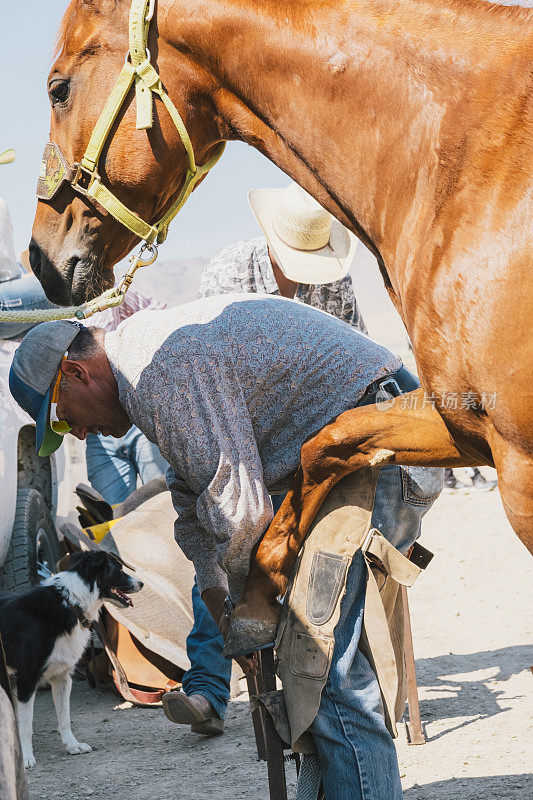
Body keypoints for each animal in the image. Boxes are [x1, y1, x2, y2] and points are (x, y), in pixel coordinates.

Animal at [0, 552, 142, 768]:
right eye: (119, 570)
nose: (141, 583)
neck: (70, 603)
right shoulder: (26, 679)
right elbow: (25, 725)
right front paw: (26, 757)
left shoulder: (61, 677)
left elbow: (64, 717)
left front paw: (72, 745)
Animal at [31, 0, 528, 648]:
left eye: (59, 88)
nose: (39, 256)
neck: (461, 164)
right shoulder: (463, 424)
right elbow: (332, 439)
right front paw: (264, 582)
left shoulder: (517, 462)